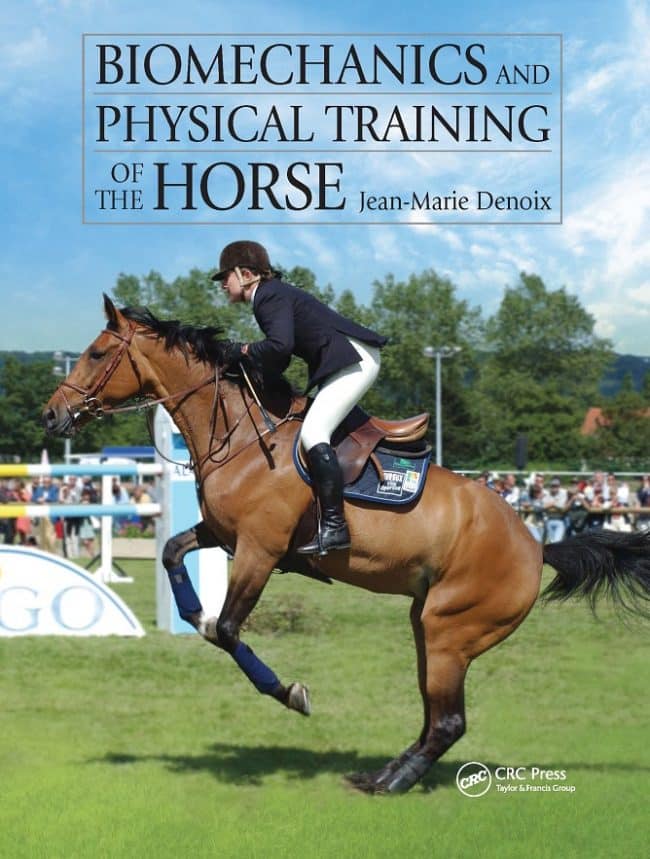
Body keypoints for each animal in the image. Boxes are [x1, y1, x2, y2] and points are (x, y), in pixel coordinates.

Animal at [43, 296, 650, 794]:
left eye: (97, 353)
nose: (51, 414)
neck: (242, 436)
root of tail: (535, 544)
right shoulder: (222, 534)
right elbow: (172, 554)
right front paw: (190, 612)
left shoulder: (259, 551)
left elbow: (228, 631)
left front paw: (290, 693)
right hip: (426, 623)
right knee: (435, 714)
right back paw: (382, 772)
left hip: (451, 629)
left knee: (448, 721)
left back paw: (391, 783)